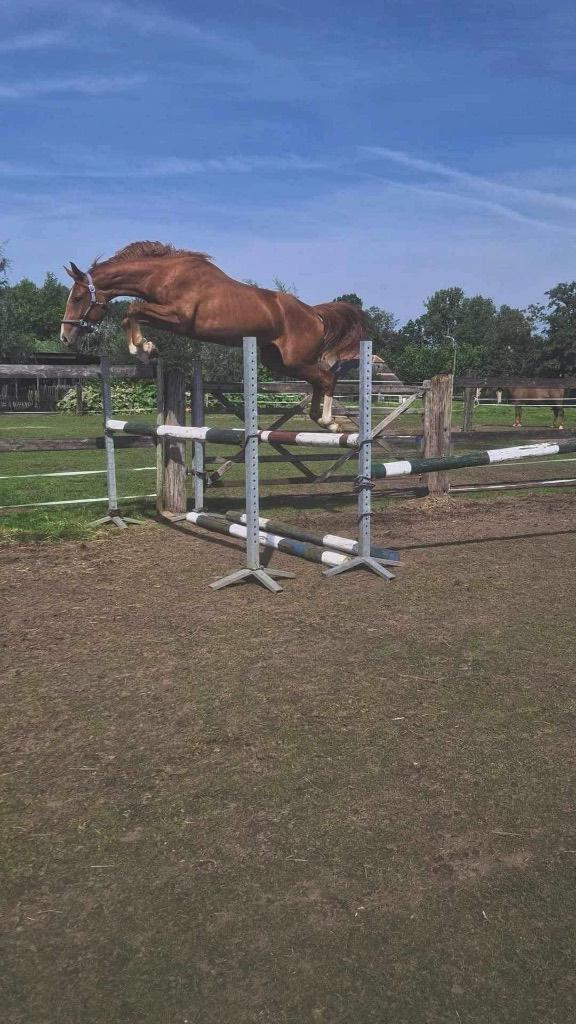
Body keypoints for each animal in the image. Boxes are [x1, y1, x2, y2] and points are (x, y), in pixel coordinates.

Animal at [60, 241, 365, 431]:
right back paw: (320, 419)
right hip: (279, 362)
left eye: (77, 298)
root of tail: (314, 314)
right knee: (319, 380)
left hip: (295, 360)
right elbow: (131, 313)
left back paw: (328, 421)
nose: (65, 336)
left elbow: (133, 309)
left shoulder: (179, 318)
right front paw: (145, 349)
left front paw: (145, 348)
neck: (165, 274)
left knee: (327, 378)